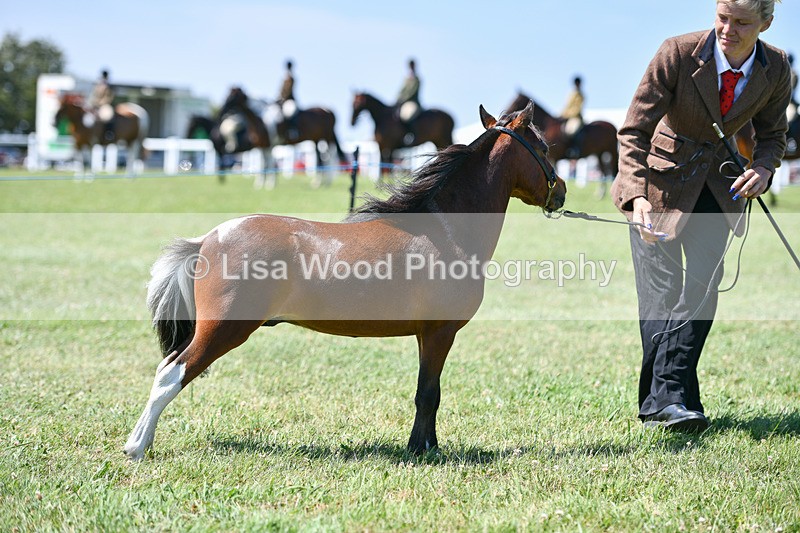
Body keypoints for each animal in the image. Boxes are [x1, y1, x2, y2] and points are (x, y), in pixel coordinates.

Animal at [123, 101, 567, 460]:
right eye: (544, 149)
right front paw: (422, 451)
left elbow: (428, 392)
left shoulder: (426, 334)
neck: (444, 229)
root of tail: (207, 239)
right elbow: (429, 394)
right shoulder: (440, 332)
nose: (561, 191)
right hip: (221, 331)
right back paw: (136, 447)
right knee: (171, 375)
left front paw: (426, 446)